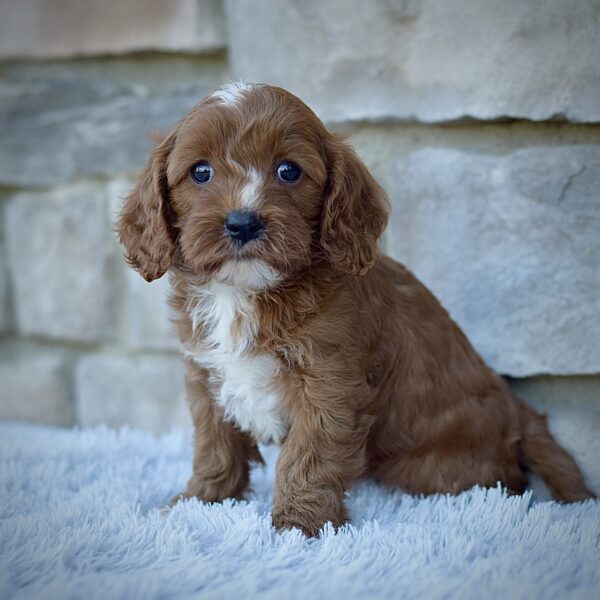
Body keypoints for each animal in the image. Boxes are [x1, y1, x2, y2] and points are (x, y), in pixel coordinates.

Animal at [117, 82, 596, 536]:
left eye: (288, 171)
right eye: (200, 172)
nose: (242, 222)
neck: (245, 291)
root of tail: (520, 412)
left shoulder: (329, 382)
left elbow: (308, 456)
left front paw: (299, 525)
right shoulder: (207, 374)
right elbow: (214, 443)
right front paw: (200, 501)